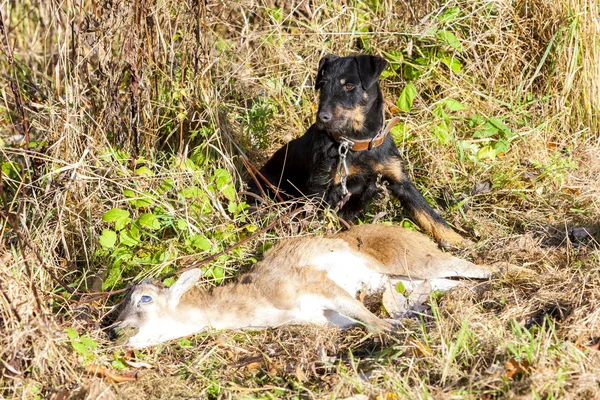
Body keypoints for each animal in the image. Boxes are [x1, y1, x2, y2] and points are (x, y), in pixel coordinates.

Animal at [111, 223, 492, 348]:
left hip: (412, 259)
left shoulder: (316, 283)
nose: (116, 331)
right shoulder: (327, 317)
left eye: (144, 299)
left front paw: (391, 329)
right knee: (446, 282)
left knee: (477, 267)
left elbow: (366, 315)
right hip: (405, 280)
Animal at [247, 53, 464, 247]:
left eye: (349, 86)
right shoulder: (320, 189)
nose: (322, 117)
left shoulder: (399, 180)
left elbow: (428, 213)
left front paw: (459, 240)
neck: (358, 143)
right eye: (322, 85)